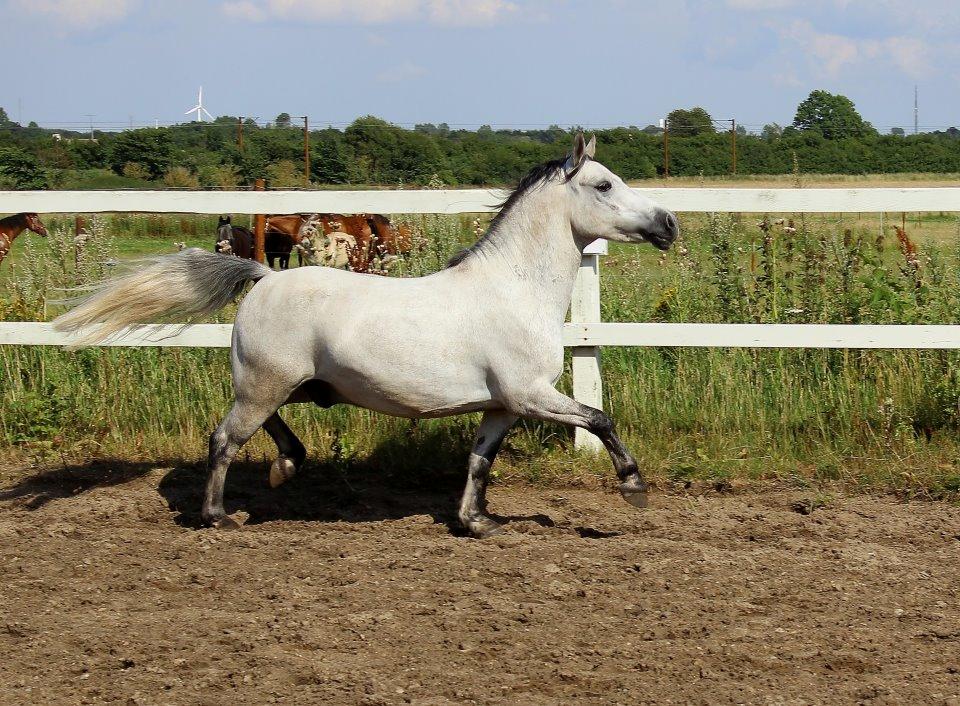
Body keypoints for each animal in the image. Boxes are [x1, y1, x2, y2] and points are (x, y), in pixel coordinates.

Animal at [53, 134, 678, 538]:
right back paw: (220, 516)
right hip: (265, 384)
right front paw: (634, 487)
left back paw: (286, 467)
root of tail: (262, 277)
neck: (514, 289)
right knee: (224, 439)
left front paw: (476, 522)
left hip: (291, 385)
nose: (668, 223)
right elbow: (599, 419)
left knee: (261, 430)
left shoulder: (503, 404)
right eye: (604, 184)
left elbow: (480, 460)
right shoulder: (531, 394)